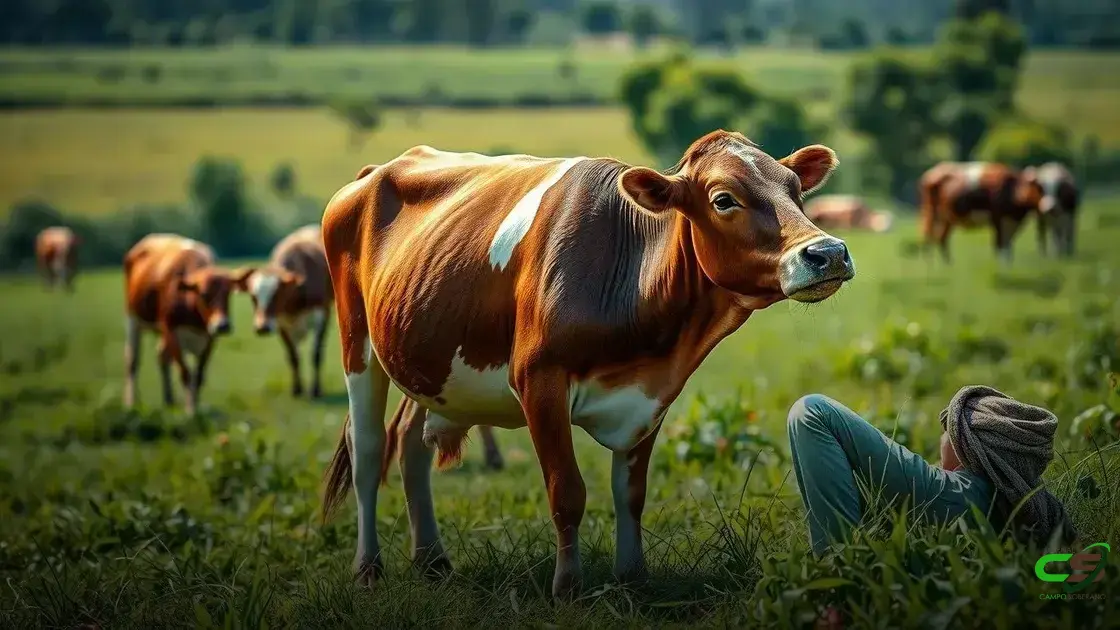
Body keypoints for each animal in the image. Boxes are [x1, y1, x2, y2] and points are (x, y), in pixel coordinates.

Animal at [123, 234, 252, 416]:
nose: (222, 325)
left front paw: (196, 410)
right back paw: (130, 403)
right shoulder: (171, 332)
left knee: (162, 357)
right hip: (132, 318)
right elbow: (185, 374)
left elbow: (198, 377)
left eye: (228, 293)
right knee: (132, 361)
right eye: (204, 294)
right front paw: (190, 413)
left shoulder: (208, 338)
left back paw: (169, 401)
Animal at [318, 130, 855, 598]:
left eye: (795, 190)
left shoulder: (651, 396)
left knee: (409, 443)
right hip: (358, 343)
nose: (829, 252)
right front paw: (568, 587)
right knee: (369, 450)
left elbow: (631, 494)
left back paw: (432, 561)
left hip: (430, 363)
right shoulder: (539, 381)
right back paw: (368, 569)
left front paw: (633, 578)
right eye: (724, 199)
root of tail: (377, 171)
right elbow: (567, 492)